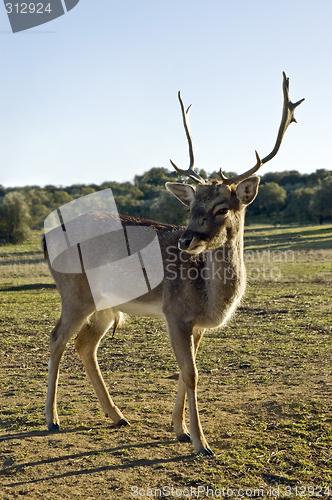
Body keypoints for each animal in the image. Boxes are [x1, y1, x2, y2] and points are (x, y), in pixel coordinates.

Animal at [43, 72, 304, 456]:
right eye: (191, 206)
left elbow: (185, 372)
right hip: (75, 292)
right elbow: (191, 373)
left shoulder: (196, 325)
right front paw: (201, 442)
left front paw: (179, 429)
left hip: (105, 305)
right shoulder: (175, 312)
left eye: (222, 208)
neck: (211, 300)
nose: (185, 240)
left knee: (84, 344)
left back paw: (117, 415)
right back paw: (52, 419)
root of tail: (45, 239)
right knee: (56, 338)